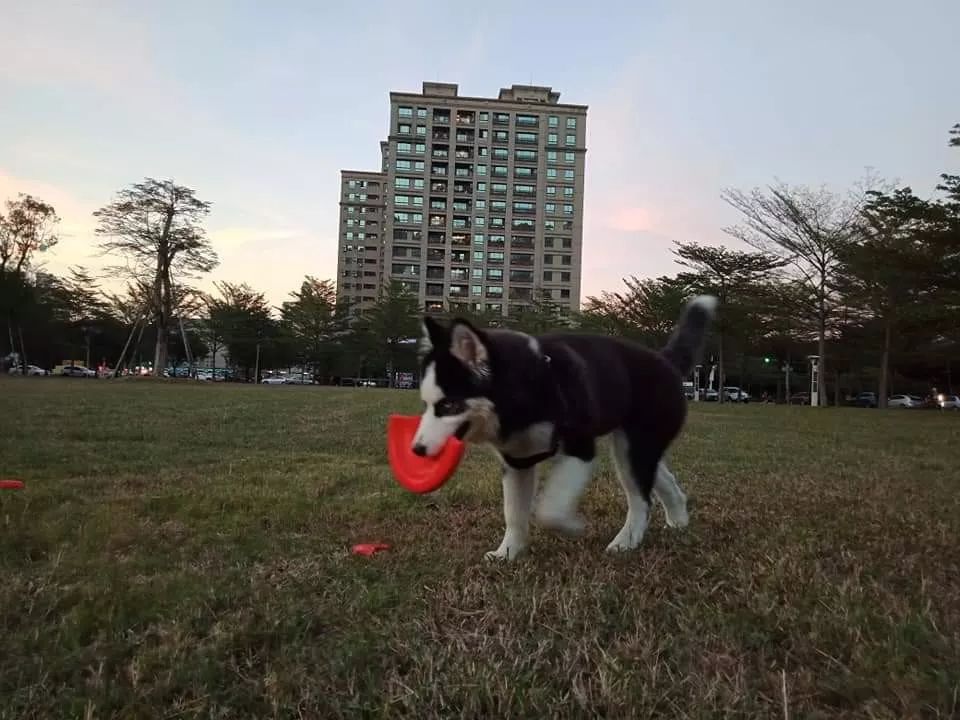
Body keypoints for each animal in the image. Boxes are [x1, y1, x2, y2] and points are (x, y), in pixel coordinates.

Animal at [414, 294, 720, 564]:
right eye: (426, 404)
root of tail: (665, 360)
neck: (529, 386)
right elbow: (514, 513)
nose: (417, 449)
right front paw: (508, 553)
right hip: (635, 447)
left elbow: (549, 509)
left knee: (641, 500)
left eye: (449, 405)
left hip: (635, 447)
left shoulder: (580, 448)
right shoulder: (517, 461)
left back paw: (626, 542)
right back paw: (677, 520)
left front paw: (571, 527)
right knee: (660, 482)